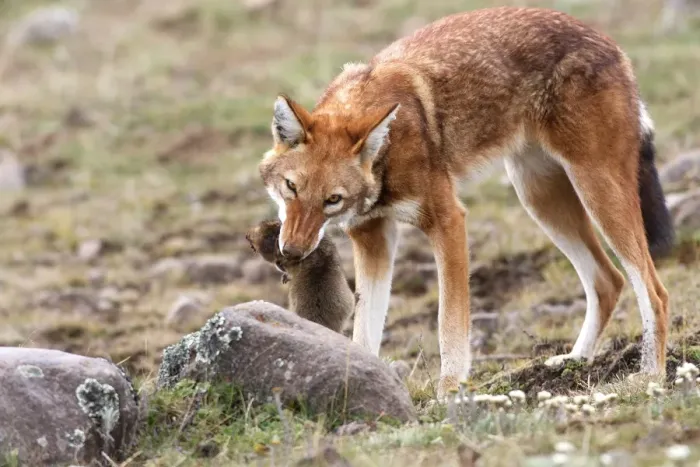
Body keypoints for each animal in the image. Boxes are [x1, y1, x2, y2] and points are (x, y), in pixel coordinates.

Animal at [258, 6, 674, 399]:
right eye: (291, 188)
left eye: (332, 200)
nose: (291, 252)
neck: (387, 152)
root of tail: (609, 42)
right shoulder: (372, 237)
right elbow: (365, 332)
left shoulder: (448, 221)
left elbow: (449, 322)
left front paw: (449, 390)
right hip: (539, 199)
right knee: (608, 281)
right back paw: (574, 362)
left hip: (595, 192)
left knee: (654, 291)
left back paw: (650, 375)